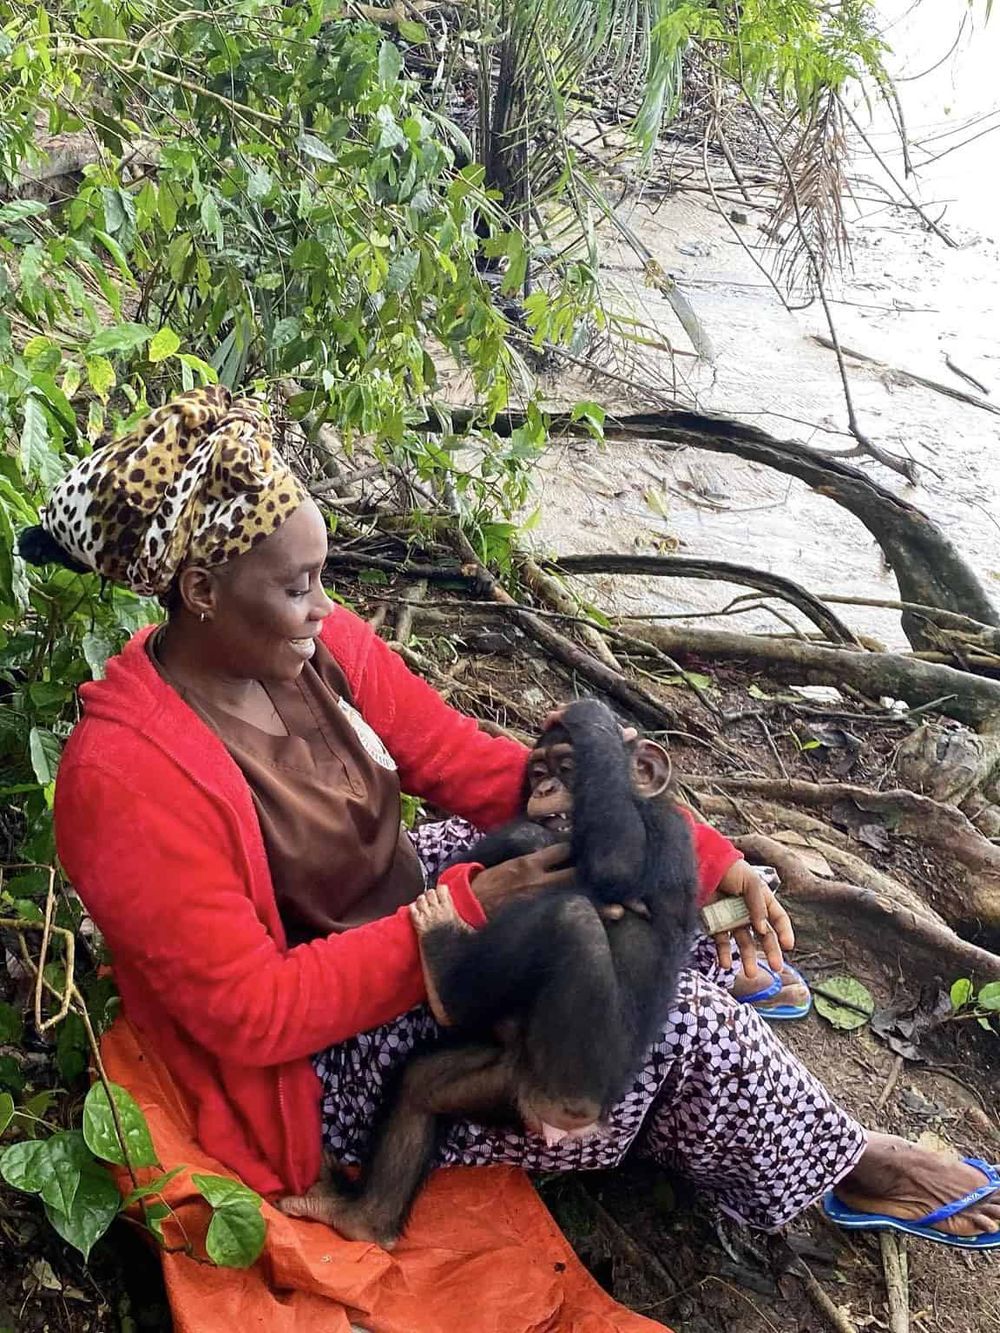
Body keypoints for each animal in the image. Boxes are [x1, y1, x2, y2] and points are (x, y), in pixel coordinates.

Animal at [279, 698, 698, 1248]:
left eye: (570, 767)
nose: (545, 788)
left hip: (571, 1079)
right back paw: (361, 1217)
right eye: (538, 772)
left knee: (571, 919)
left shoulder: (662, 831)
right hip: (499, 1087)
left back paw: (445, 975)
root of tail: (560, 1119)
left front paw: (593, 720)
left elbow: (616, 863)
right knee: (421, 1086)